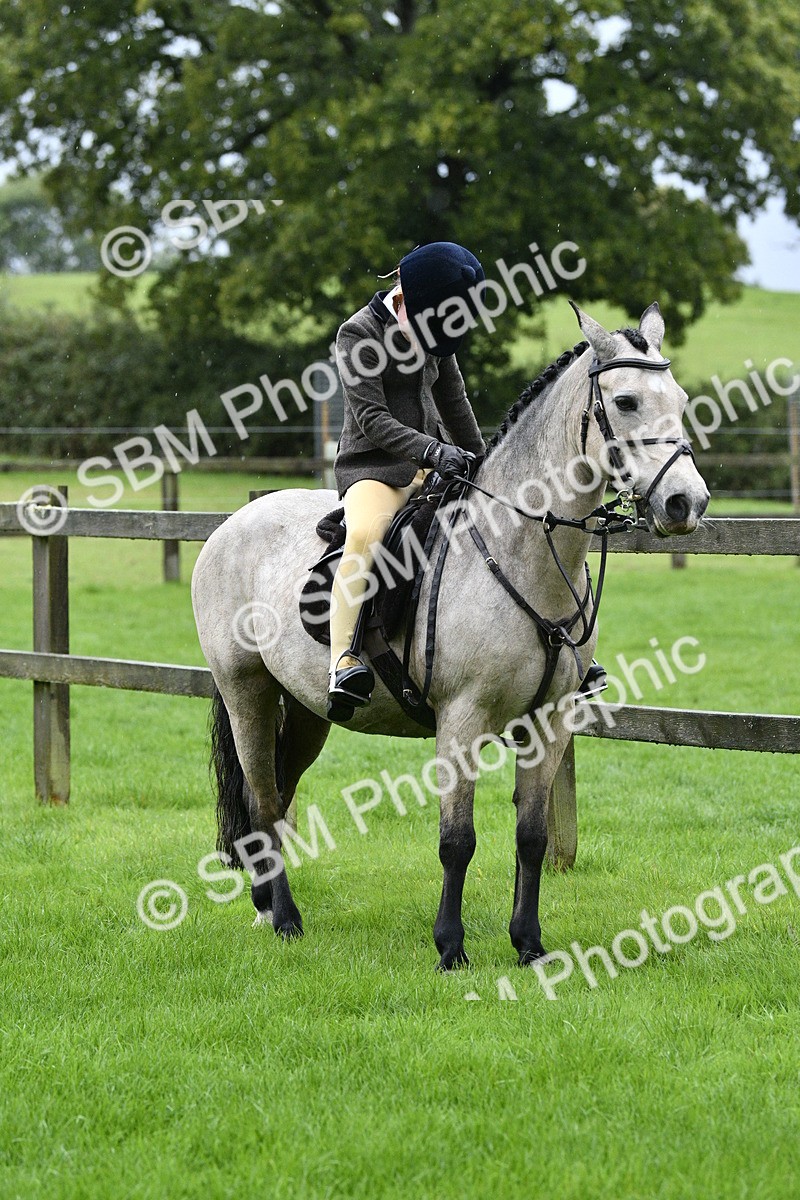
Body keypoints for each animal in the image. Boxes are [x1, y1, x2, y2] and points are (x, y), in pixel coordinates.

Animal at [191, 302, 709, 969]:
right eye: (624, 401)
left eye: (680, 399)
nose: (686, 503)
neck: (521, 548)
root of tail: (233, 523)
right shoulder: (461, 720)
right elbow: (456, 840)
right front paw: (450, 948)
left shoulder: (548, 721)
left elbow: (532, 836)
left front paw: (529, 945)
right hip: (247, 691)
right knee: (262, 797)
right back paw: (284, 919)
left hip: (306, 708)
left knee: (278, 795)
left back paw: (265, 906)